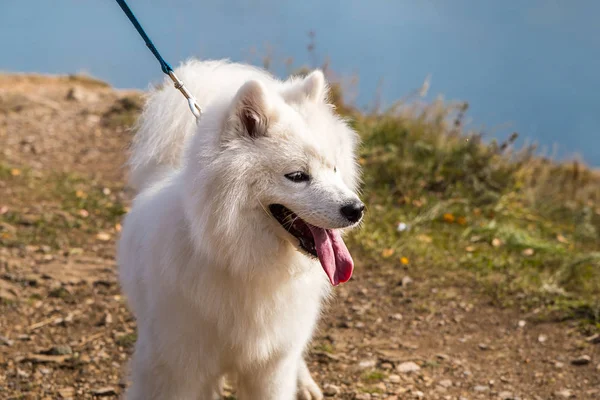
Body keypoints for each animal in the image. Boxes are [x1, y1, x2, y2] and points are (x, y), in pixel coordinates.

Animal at [115, 59, 364, 400]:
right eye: (297, 176)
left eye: (334, 168)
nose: (356, 210)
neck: (241, 258)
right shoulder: (173, 366)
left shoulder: (271, 367)